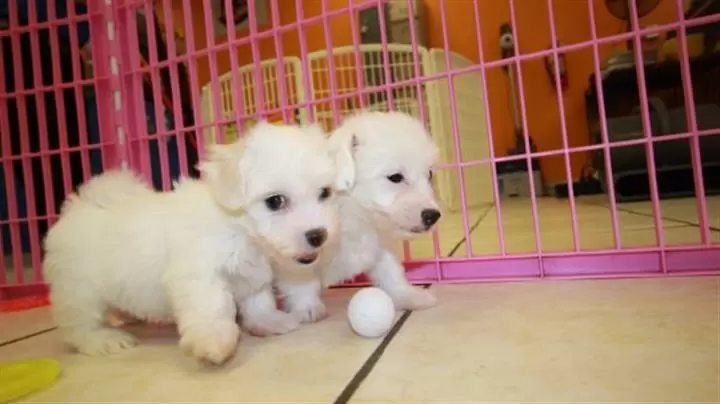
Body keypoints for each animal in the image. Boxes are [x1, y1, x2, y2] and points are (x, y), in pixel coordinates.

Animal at [43, 121, 342, 364]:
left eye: (324, 193)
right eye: (275, 201)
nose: (318, 235)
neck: (240, 228)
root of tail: (79, 207)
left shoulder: (252, 274)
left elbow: (258, 300)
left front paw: (268, 321)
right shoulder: (198, 272)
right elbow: (212, 304)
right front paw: (215, 342)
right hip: (79, 289)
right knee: (79, 323)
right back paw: (104, 340)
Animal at [274, 109, 438, 322]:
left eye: (430, 174)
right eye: (395, 177)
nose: (433, 215)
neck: (355, 213)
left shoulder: (379, 246)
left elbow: (391, 271)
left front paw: (408, 295)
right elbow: (300, 280)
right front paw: (307, 308)